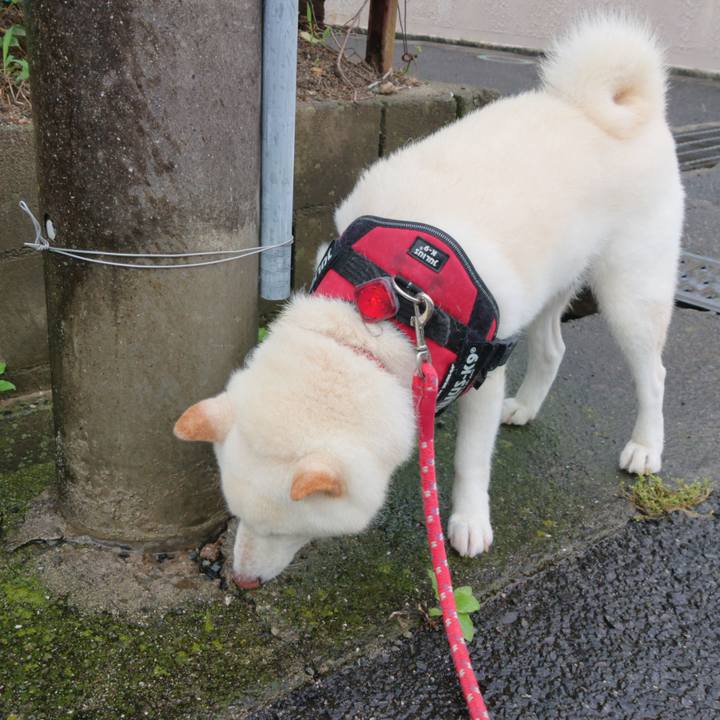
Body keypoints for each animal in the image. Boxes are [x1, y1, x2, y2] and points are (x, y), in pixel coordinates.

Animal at [174, 14, 684, 588]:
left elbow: (470, 461)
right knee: (554, 348)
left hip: (630, 292)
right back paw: (527, 407)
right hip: (550, 286)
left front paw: (468, 523)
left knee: (653, 373)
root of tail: (607, 106)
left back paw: (645, 447)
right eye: (235, 515)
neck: (379, 317)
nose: (241, 581)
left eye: (284, 531)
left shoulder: (483, 366)